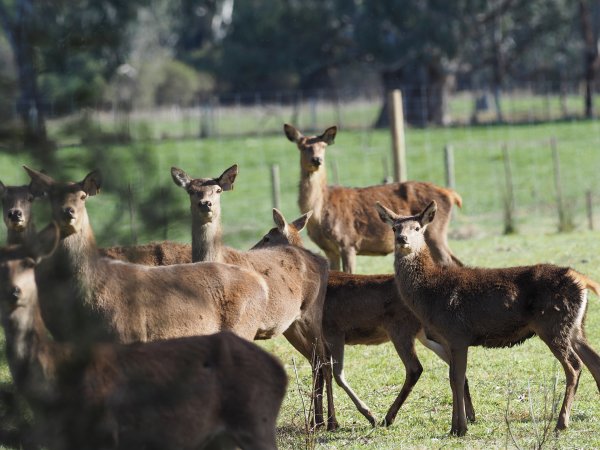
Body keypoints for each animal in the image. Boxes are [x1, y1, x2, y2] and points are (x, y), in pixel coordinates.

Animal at [171, 164, 338, 428]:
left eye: (218, 189)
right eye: (191, 190)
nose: (206, 204)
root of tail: (322, 261)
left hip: (312, 312)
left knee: (325, 358)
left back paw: (331, 421)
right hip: (292, 325)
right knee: (315, 360)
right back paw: (316, 420)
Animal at [253, 209, 478, 428]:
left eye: (266, 237)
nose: (252, 249)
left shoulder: (333, 329)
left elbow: (335, 373)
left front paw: (357, 416)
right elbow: (322, 370)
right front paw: (320, 421)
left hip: (400, 329)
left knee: (415, 368)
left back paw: (388, 417)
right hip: (426, 333)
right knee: (454, 364)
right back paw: (470, 415)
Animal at [282, 121, 464, 272]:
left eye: (323, 146)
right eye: (302, 146)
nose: (317, 160)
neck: (319, 212)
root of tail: (451, 194)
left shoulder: (348, 241)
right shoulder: (329, 249)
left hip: (435, 232)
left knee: (450, 261)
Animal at [378, 200, 600, 436]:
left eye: (417, 228)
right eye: (395, 228)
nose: (402, 239)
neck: (429, 293)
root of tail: (582, 280)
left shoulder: (457, 333)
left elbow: (457, 379)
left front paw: (460, 428)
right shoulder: (446, 339)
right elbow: (453, 378)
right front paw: (455, 427)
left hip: (553, 324)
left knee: (574, 366)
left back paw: (561, 422)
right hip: (575, 326)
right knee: (594, 360)